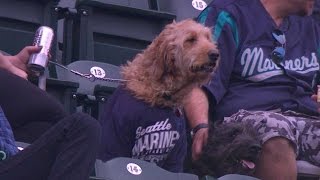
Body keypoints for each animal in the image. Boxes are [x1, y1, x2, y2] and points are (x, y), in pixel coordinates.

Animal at [99, 19, 220, 172]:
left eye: (208, 38)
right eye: (191, 39)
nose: (215, 54)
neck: (161, 95)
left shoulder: (175, 155)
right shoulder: (116, 138)